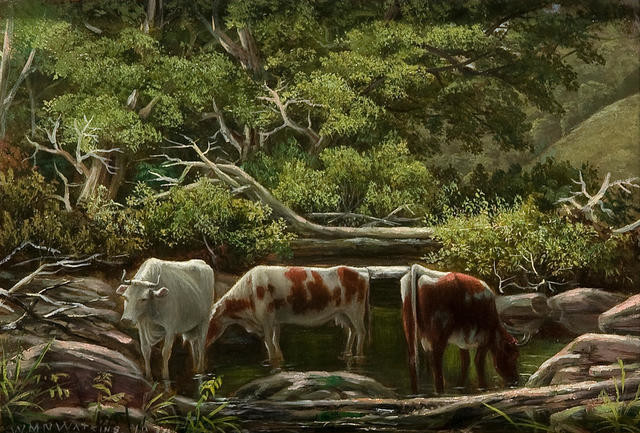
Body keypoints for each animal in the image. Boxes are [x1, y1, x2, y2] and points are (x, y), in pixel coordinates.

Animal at [208, 264, 372, 362]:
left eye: (208, 321)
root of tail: (361, 272)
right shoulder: (275, 322)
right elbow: (275, 343)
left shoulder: (266, 320)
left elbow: (269, 344)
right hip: (343, 314)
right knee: (352, 331)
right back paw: (347, 354)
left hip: (355, 311)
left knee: (361, 332)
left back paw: (358, 356)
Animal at [400, 264, 520, 392]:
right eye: (513, 356)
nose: (515, 381)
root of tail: (420, 269)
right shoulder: (485, 338)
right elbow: (478, 361)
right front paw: (483, 388)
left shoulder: (463, 341)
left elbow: (465, 361)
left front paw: (460, 387)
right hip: (440, 330)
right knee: (436, 360)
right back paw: (441, 391)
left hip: (409, 323)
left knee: (413, 359)